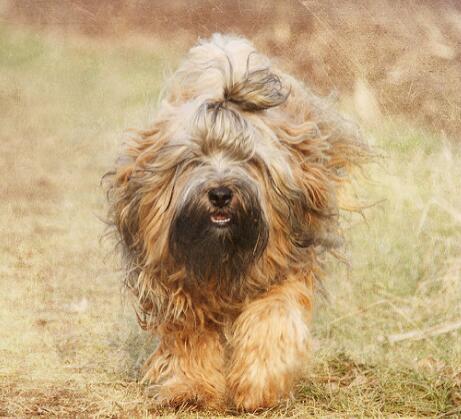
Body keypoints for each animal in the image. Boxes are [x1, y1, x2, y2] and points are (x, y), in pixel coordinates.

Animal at [106, 33, 369, 411]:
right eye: (195, 157)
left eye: (249, 159)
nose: (220, 194)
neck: (221, 254)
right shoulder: (175, 284)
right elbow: (190, 337)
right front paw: (191, 387)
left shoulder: (282, 269)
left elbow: (271, 320)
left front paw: (257, 385)